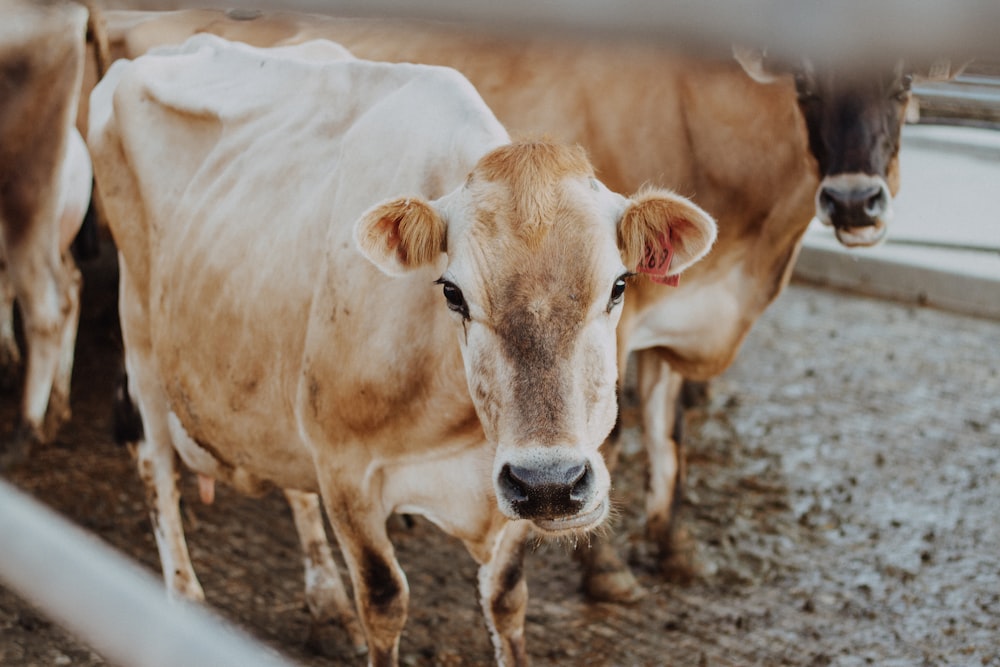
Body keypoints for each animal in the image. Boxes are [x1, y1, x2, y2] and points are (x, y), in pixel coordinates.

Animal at [88, 36, 720, 667]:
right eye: (453, 292)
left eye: (618, 285)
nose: (549, 482)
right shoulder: (345, 470)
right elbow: (385, 597)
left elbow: (507, 599)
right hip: (140, 334)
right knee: (154, 462)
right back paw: (184, 602)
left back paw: (326, 603)